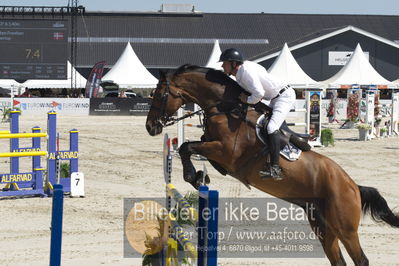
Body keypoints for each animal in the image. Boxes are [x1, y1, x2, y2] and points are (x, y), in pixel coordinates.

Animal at [146, 63, 399, 264]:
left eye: (160, 95)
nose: (151, 127)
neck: (225, 108)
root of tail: (353, 186)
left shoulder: (225, 151)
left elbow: (186, 147)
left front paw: (194, 177)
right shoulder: (215, 150)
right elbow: (189, 147)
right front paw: (200, 176)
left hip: (345, 228)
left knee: (361, 259)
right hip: (323, 226)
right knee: (338, 260)